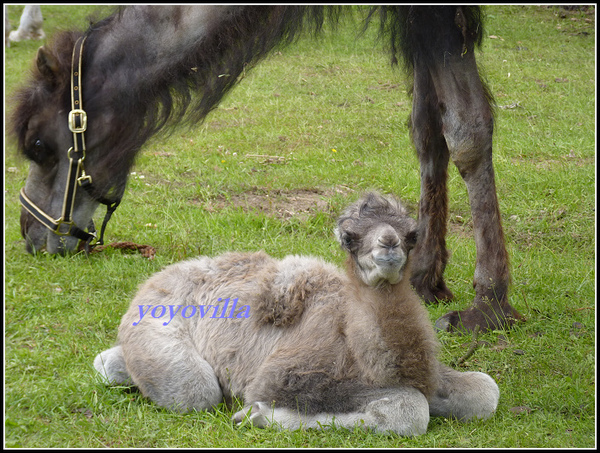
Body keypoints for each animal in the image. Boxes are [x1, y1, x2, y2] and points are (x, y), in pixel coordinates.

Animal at [94, 191, 496, 434]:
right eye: (349, 237)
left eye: (412, 233)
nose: (388, 244)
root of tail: (157, 278)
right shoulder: (287, 375)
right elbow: (410, 409)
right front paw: (256, 414)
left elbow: (484, 392)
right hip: (155, 315)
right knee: (195, 390)